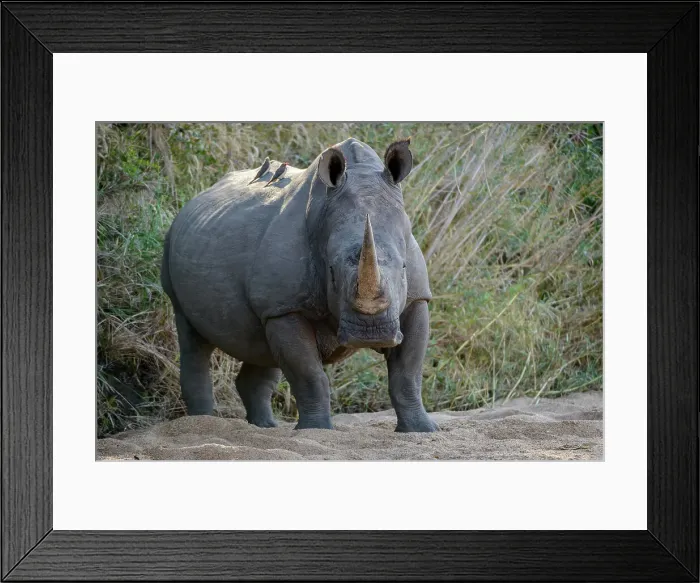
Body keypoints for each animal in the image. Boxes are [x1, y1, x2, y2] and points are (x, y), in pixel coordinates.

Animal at [161, 137, 438, 432]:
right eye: (331, 272)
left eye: (404, 268)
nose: (371, 333)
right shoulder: (286, 307)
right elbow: (309, 375)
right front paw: (316, 430)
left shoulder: (417, 298)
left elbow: (407, 372)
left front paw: (421, 430)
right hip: (172, 247)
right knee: (192, 338)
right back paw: (200, 423)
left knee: (261, 350)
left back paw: (266, 427)